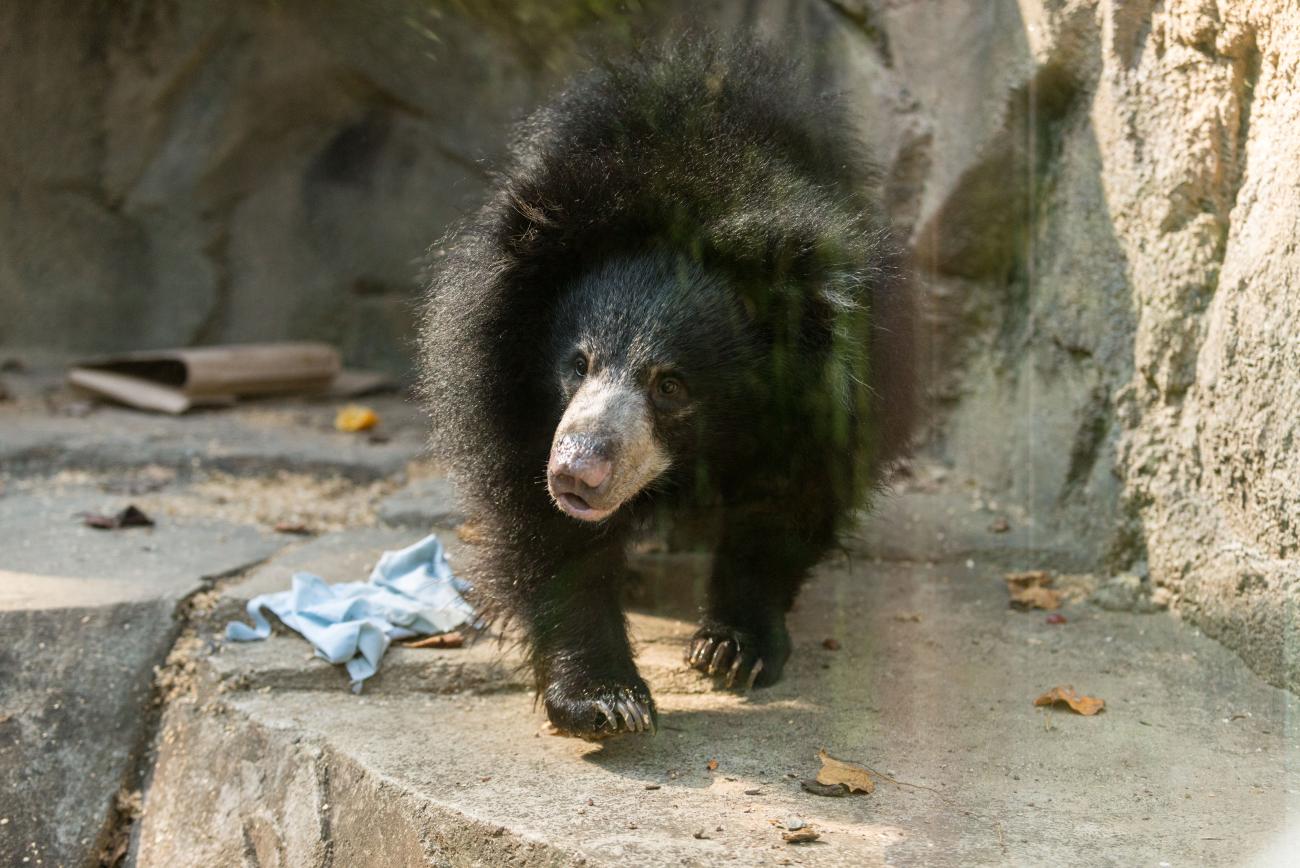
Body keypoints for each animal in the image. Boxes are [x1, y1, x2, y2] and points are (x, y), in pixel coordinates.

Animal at [418, 35, 915, 738]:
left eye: (672, 385)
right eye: (578, 363)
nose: (576, 474)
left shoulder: (834, 395)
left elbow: (787, 504)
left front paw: (734, 649)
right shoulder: (503, 382)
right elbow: (544, 527)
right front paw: (604, 699)